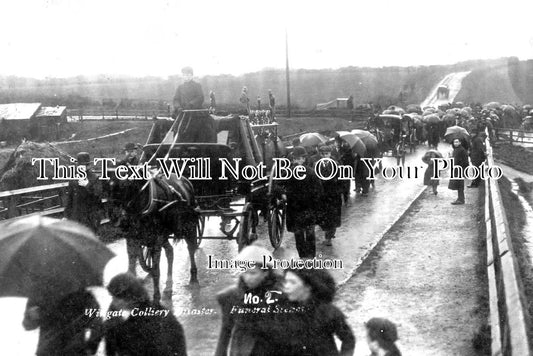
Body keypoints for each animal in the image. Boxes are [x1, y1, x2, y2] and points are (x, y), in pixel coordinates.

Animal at [106, 171, 200, 302]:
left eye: (125, 185)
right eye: (107, 185)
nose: (113, 216)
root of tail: (187, 182)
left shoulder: (156, 240)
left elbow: (156, 270)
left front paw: (156, 297)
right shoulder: (131, 239)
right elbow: (131, 265)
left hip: (189, 226)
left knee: (191, 248)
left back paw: (193, 275)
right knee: (170, 251)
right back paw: (169, 284)